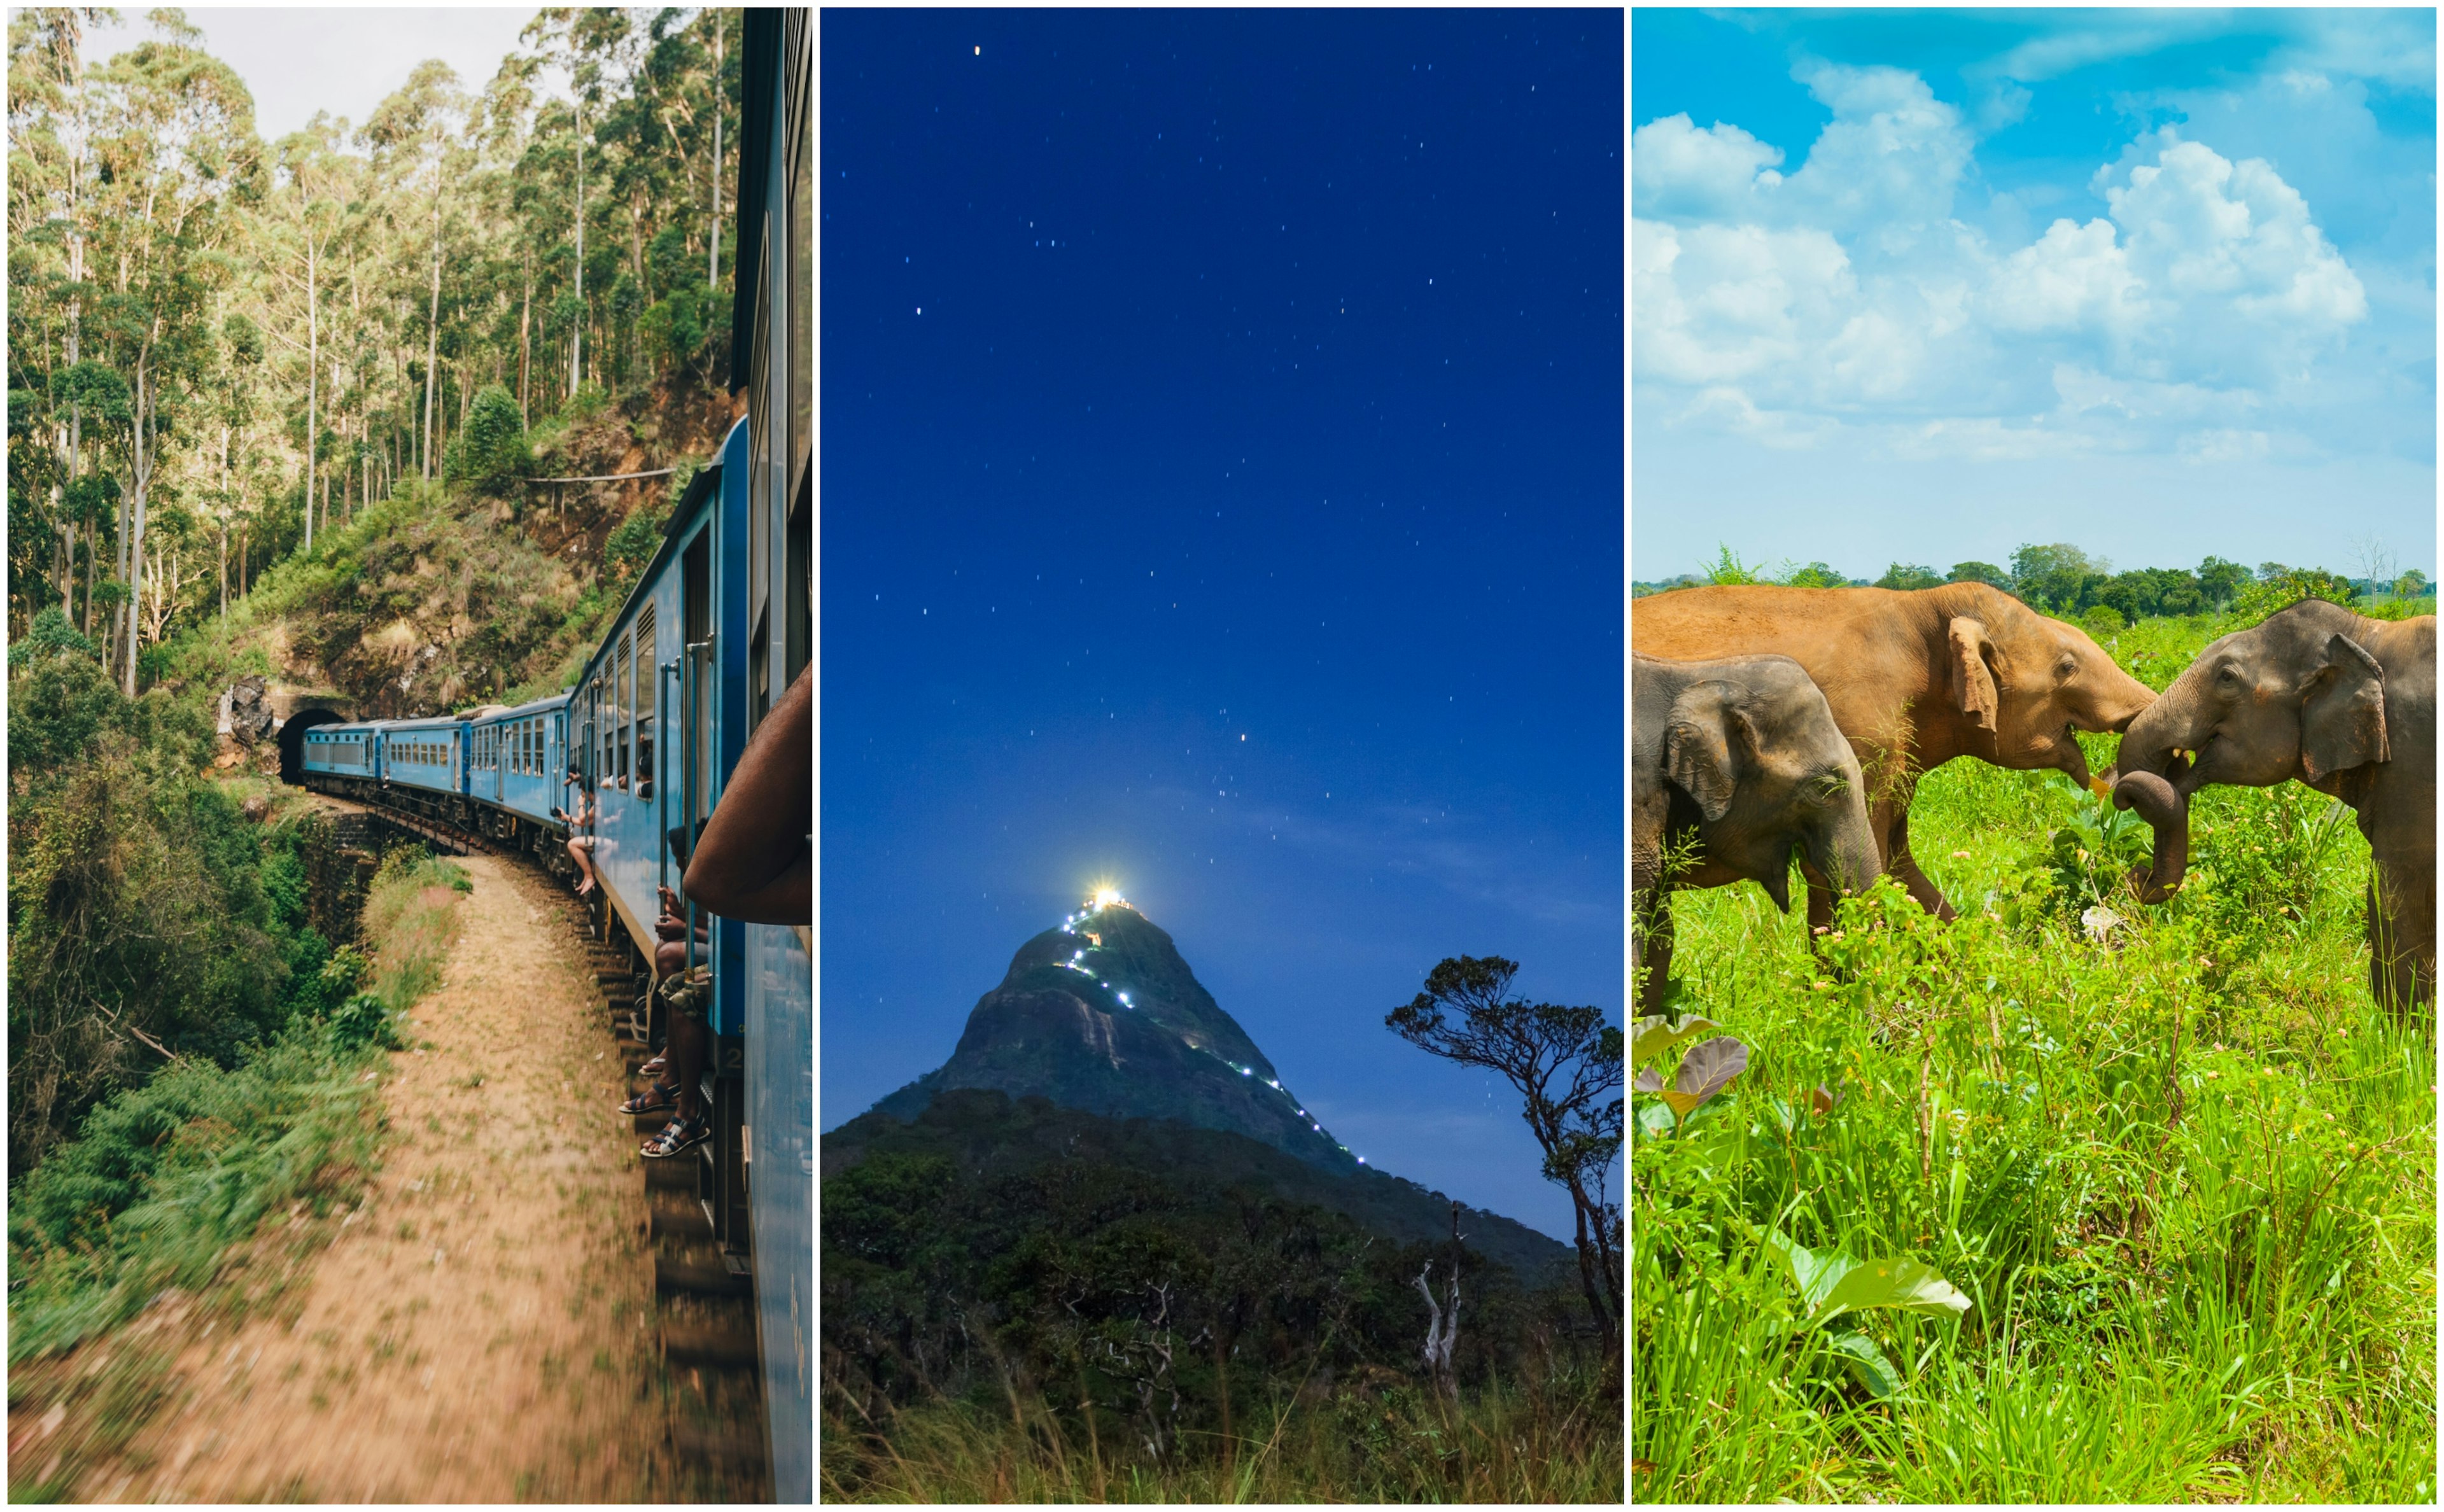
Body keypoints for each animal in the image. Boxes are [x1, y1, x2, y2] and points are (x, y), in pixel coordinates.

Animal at [2111, 598, 2434, 1011]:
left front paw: (2400, 1028)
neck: (2367, 634)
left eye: (2226, 678)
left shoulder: (2415, 769)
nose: (2136, 875)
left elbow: (2395, 898)